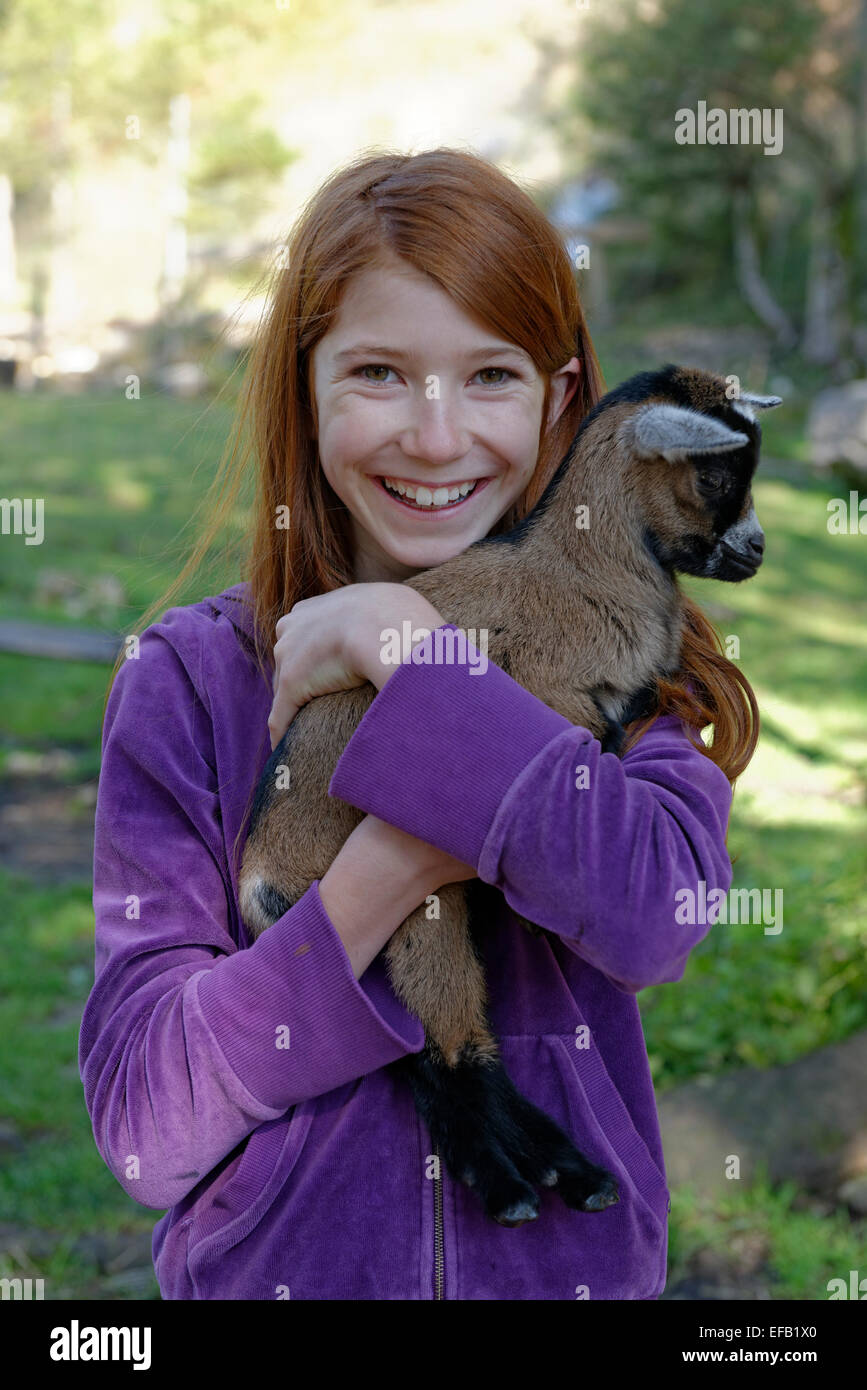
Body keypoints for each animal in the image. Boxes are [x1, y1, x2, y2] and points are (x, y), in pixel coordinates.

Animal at [234, 366, 778, 1228]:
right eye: (717, 476)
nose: (755, 552)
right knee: (443, 1047)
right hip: (390, 905)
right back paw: (517, 1186)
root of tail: (257, 876)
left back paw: (570, 1172)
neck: (580, 569)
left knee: (427, 1045)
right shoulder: (552, 695)